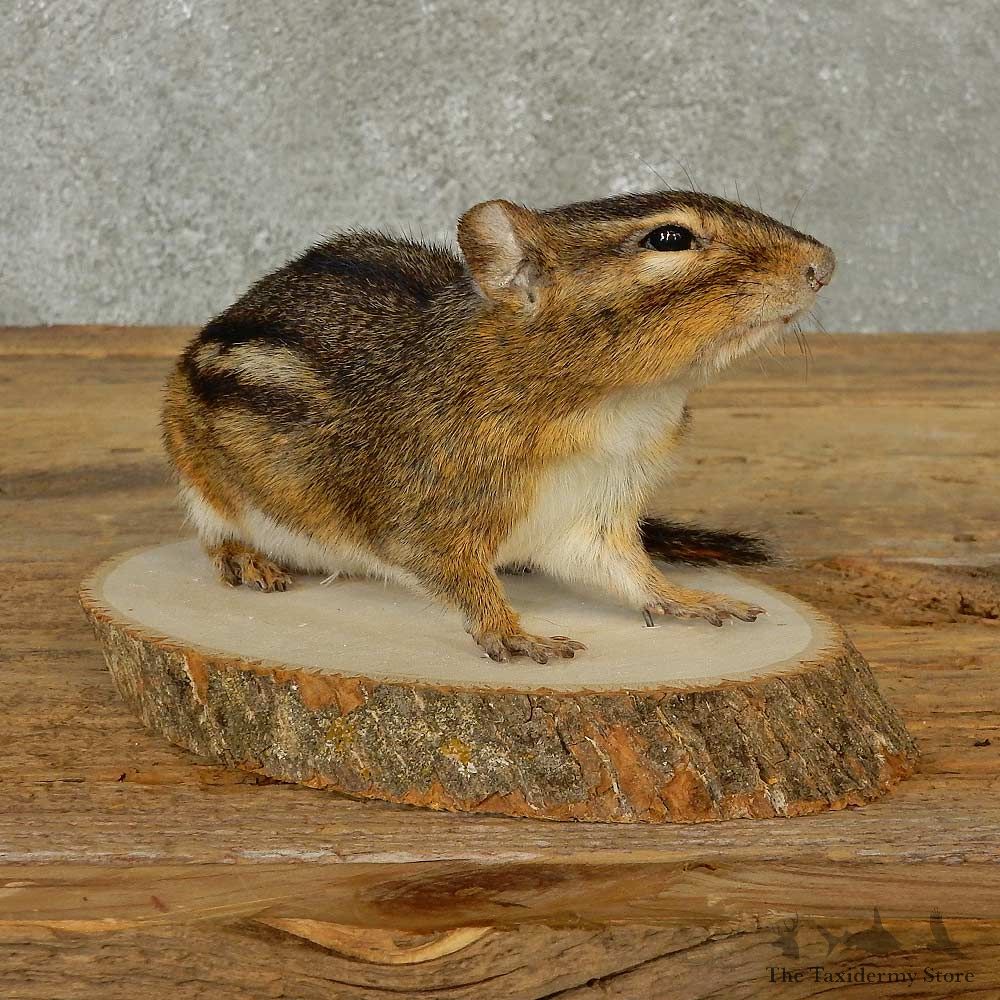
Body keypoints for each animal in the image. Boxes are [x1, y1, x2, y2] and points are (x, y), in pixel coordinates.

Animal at [161, 190, 835, 664]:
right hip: (197, 473)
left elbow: (627, 570)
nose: (824, 263)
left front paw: (688, 598)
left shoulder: (594, 514)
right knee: (213, 532)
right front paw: (512, 633)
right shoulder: (430, 515)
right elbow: (454, 575)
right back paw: (246, 560)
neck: (619, 409)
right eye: (669, 237)